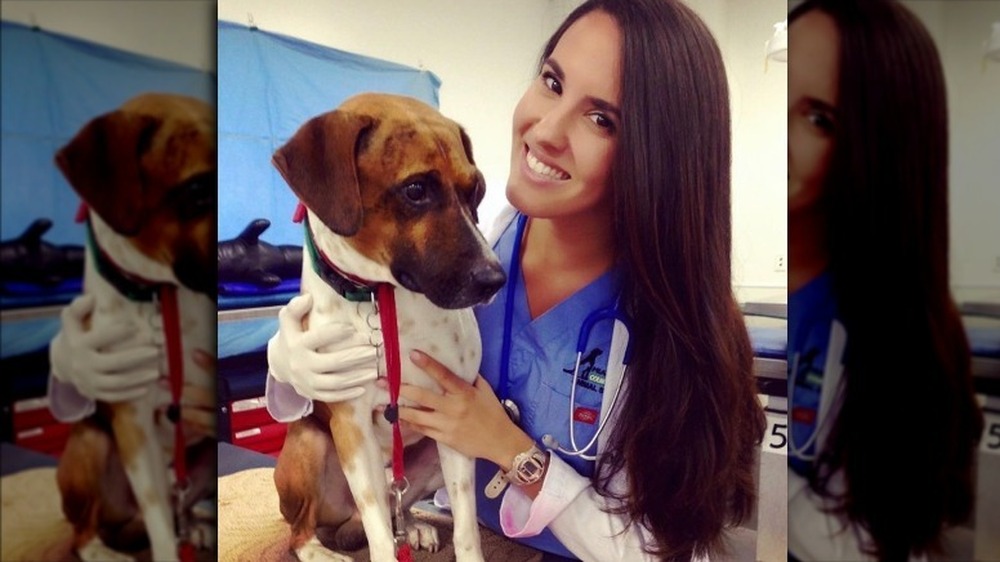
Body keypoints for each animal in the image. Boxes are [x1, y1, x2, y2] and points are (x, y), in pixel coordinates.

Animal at [51, 93, 216, 560]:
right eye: (198, 190)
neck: (162, 294)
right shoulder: (134, 422)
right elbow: (159, 521)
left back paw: (198, 527)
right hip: (90, 444)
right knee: (86, 531)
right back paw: (104, 550)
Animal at [270, 93, 504, 560]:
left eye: (477, 189)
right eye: (416, 190)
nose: (494, 279)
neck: (383, 300)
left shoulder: (455, 417)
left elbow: (466, 527)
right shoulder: (352, 427)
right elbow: (378, 530)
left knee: (400, 501)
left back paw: (413, 527)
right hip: (310, 445)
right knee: (303, 529)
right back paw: (321, 550)